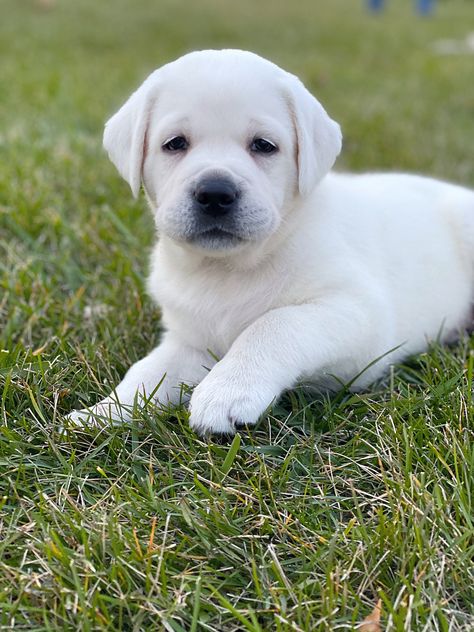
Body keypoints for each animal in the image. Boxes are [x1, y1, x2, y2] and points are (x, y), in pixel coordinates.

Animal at [68, 48, 474, 434]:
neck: (226, 271)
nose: (215, 193)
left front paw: (228, 389)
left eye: (263, 145)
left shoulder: (357, 314)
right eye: (175, 143)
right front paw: (103, 412)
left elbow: (273, 324)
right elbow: (148, 372)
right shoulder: (189, 341)